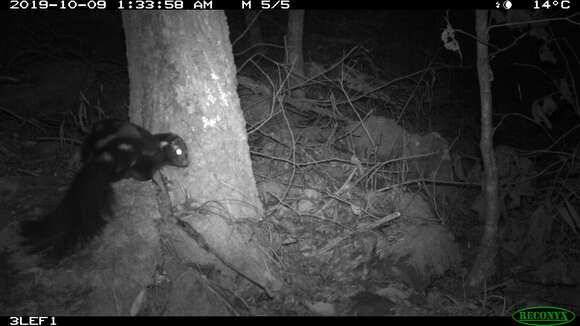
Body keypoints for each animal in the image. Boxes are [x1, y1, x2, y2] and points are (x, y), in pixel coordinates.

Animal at [18, 119, 188, 260]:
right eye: (178, 152)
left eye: (185, 152)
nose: (187, 162)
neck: (157, 143)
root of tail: (102, 157)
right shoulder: (145, 159)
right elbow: (143, 174)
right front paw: (155, 183)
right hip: (125, 158)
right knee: (120, 172)